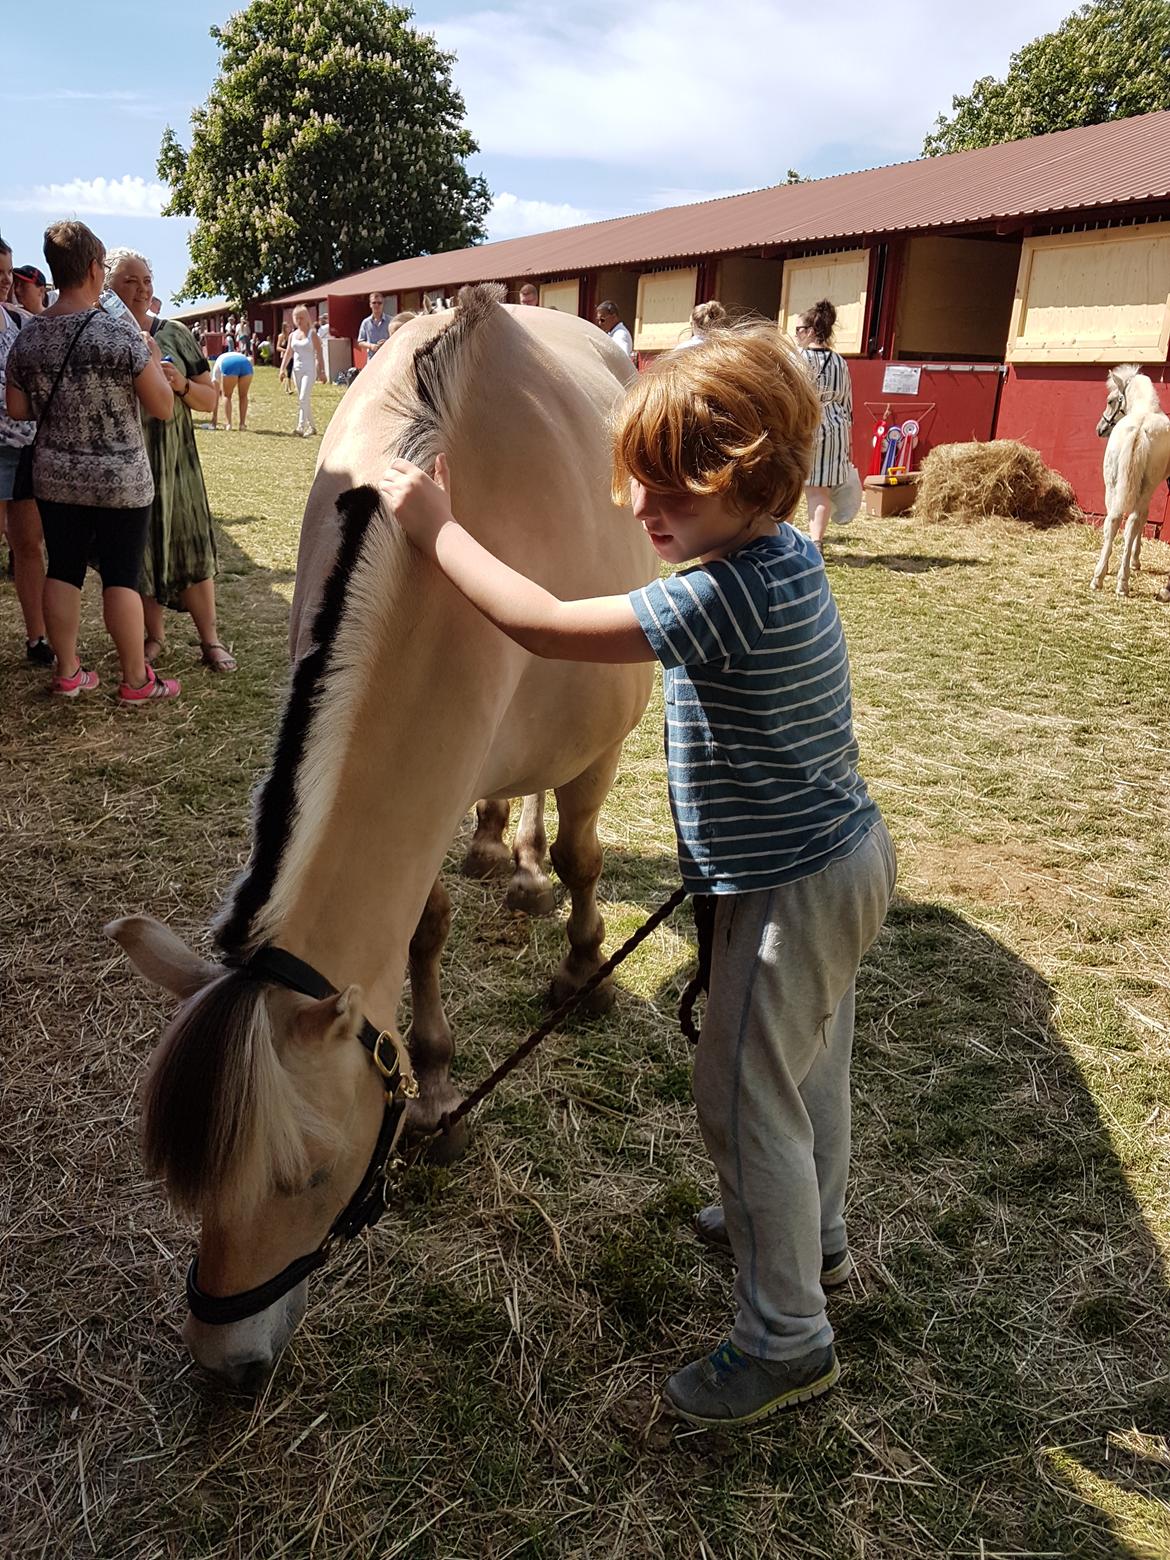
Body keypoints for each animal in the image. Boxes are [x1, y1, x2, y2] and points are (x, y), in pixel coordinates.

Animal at [107, 287, 661, 1385]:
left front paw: (583, 974)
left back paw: (530, 876)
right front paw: (439, 1079)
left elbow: (583, 856)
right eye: (190, 1185)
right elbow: (423, 927)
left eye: (311, 1176)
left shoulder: (599, 741)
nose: (225, 1364)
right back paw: (497, 850)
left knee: (553, 825)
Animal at [1098, 365, 1166, 595]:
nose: (1100, 428)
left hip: (1113, 485)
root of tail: (1139, 430)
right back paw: (1119, 580)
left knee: (1117, 520)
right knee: (1129, 521)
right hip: (1142, 487)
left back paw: (1104, 577)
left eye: (1111, 400)